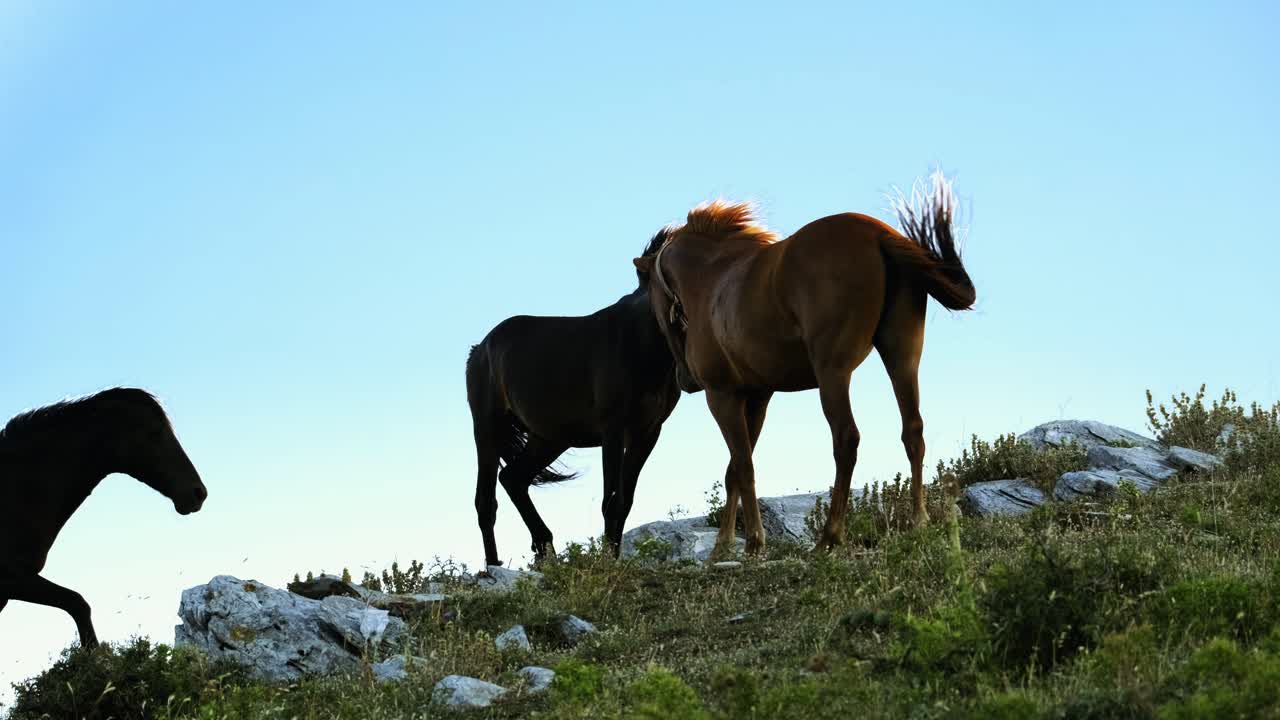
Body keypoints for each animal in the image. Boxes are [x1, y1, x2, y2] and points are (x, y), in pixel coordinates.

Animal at [467, 232, 681, 566]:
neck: (643, 343)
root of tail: (479, 349)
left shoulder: (647, 432)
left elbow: (626, 501)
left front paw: (613, 558)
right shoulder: (613, 429)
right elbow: (613, 500)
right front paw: (607, 562)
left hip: (549, 437)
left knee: (513, 479)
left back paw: (545, 550)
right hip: (488, 429)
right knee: (486, 501)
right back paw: (493, 565)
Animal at [632, 172, 975, 558]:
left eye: (649, 294)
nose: (685, 379)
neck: (713, 279)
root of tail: (877, 234)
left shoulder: (722, 396)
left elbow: (744, 466)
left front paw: (754, 541)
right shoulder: (757, 397)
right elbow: (735, 468)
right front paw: (723, 545)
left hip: (832, 373)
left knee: (846, 439)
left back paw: (830, 535)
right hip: (901, 357)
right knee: (912, 430)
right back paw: (918, 522)